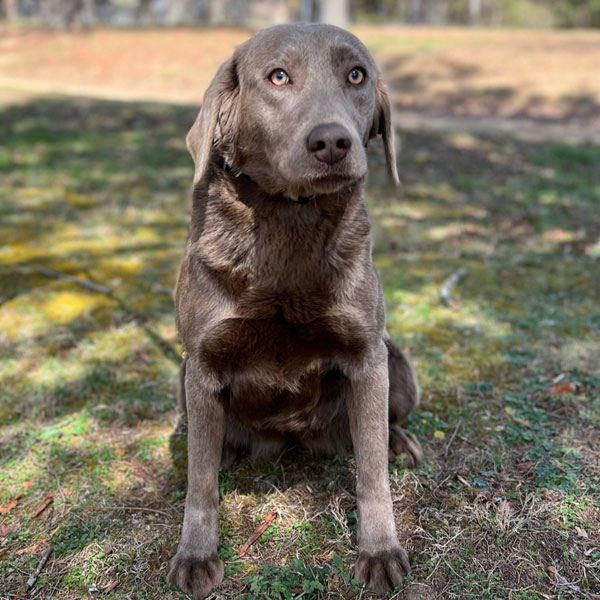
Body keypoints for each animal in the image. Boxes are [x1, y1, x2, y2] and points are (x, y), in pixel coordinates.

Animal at [166, 23, 424, 600]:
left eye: (357, 75)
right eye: (278, 76)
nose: (332, 142)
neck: (289, 220)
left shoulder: (366, 357)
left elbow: (371, 472)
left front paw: (379, 550)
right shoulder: (203, 364)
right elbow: (201, 483)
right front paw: (196, 554)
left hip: (397, 363)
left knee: (377, 429)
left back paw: (398, 441)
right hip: (182, 378)